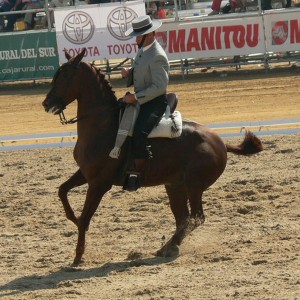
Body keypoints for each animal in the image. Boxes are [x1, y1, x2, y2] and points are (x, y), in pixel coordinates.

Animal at [42, 48, 262, 264]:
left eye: (65, 75)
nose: (47, 103)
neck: (104, 126)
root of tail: (220, 142)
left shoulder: (99, 184)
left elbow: (86, 218)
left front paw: (78, 256)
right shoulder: (85, 174)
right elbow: (62, 191)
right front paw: (73, 218)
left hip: (194, 186)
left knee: (196, 217)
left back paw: (167, 247)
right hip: (175, 186)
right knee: (183, 218)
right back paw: (168, 247)